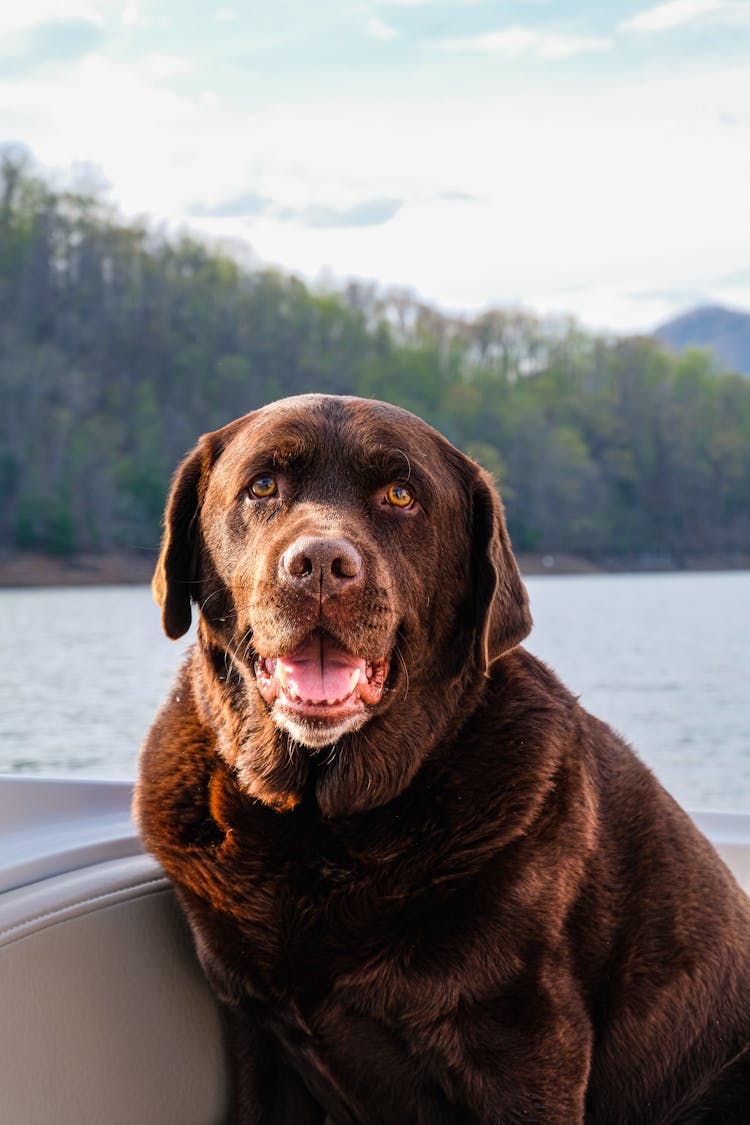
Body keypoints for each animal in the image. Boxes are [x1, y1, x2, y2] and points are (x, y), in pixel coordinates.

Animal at [136, 391, 750, 1120]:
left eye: (401, 494)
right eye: (263, 486)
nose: (320, 565)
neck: (320, 827)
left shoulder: (527, 1046)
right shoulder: (258, 1036)